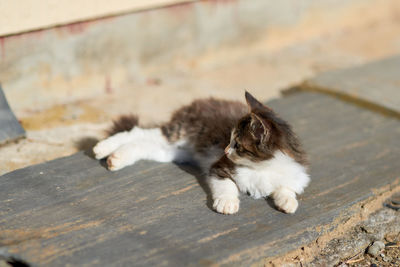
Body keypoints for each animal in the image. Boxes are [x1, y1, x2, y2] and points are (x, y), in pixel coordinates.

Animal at [93, 92, 310, 216]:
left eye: (237, 144)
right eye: (230, 139)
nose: (225, 150)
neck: (261, 167)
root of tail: (199, 101)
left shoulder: (293, 175)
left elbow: (285, 188)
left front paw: (288, 202)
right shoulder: (218, 167)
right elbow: (227, 186)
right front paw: (227, 203)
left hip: (173, 151)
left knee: (143, 144)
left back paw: (116, 157)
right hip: (177, 133)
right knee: (136, 132)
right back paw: (102, 148)